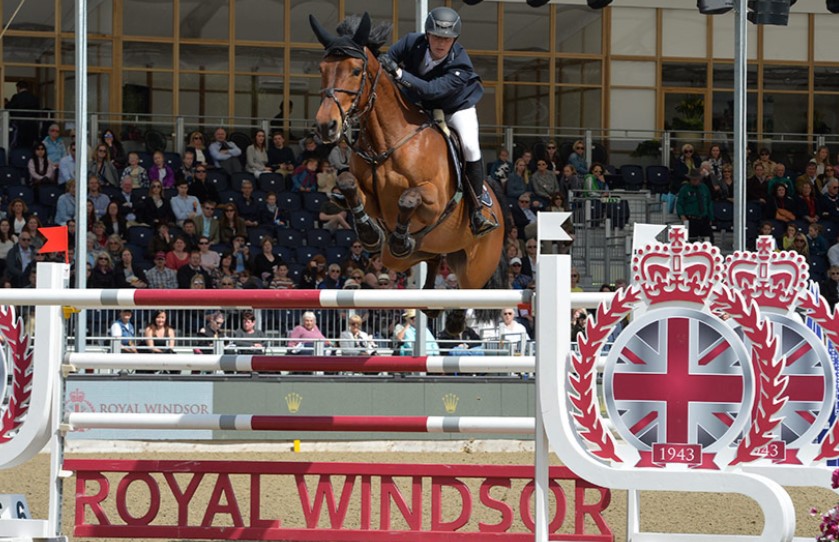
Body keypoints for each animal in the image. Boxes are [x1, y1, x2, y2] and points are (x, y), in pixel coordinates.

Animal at [309, 13, 506, 290]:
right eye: (322, 70)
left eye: (356, 71)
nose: (326, 125)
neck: (387, 142)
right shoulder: (372, 201)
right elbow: (347, 183)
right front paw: (370, 233)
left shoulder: (435, 201)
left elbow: (408, 198)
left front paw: (400, 238)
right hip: (408, 258)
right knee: (429, 263)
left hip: (476, 270)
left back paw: (479, 220)